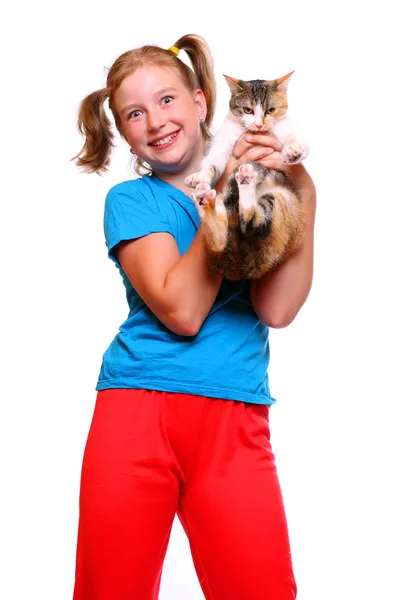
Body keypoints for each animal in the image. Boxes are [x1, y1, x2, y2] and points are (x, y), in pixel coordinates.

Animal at [185, 72, 308, 282]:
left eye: (270, 110)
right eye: (248, 110)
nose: (259, 124)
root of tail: (243, 266)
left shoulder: (285, 127)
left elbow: (296, 140)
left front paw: (292, 151)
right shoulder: (224, 139)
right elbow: (213, 161)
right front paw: (199, 177)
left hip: (281, 201)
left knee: (251, 222)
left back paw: (244, 180)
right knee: (223, 237)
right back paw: (206, 199)